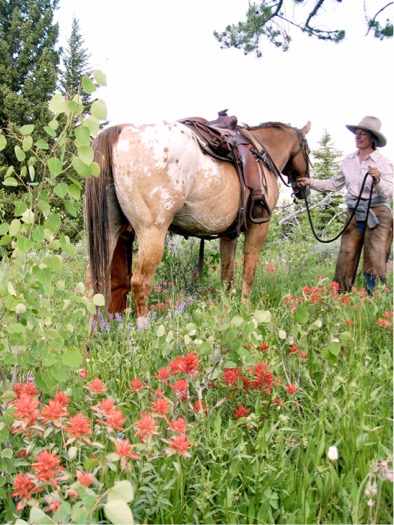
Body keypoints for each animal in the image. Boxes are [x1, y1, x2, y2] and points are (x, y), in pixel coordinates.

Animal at [85, 117, 310, 328]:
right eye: (307, 150)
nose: (304, 187)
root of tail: (121, 130)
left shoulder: (229, 234)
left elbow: (226, 276)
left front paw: (226, 310)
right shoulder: (259, 227)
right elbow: (249, 272)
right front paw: (245, 310)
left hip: (109, 232)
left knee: (92, 280)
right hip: (152, 232)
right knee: (140, 282)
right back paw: (144, 329)